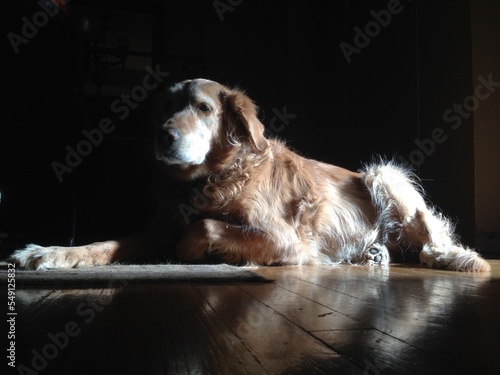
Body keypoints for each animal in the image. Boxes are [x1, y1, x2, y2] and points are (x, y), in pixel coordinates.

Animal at [8, 80, 492, 274]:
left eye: (204, 108)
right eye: (165, 108)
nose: (163, 136)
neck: (207, 180)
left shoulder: (286, 241)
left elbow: (203, 228)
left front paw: (190, 252)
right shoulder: (156, 228)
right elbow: (102, 244)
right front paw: (47, 252)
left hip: (383, 174)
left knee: (433, 239)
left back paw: (453, 258)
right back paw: (374, 254)